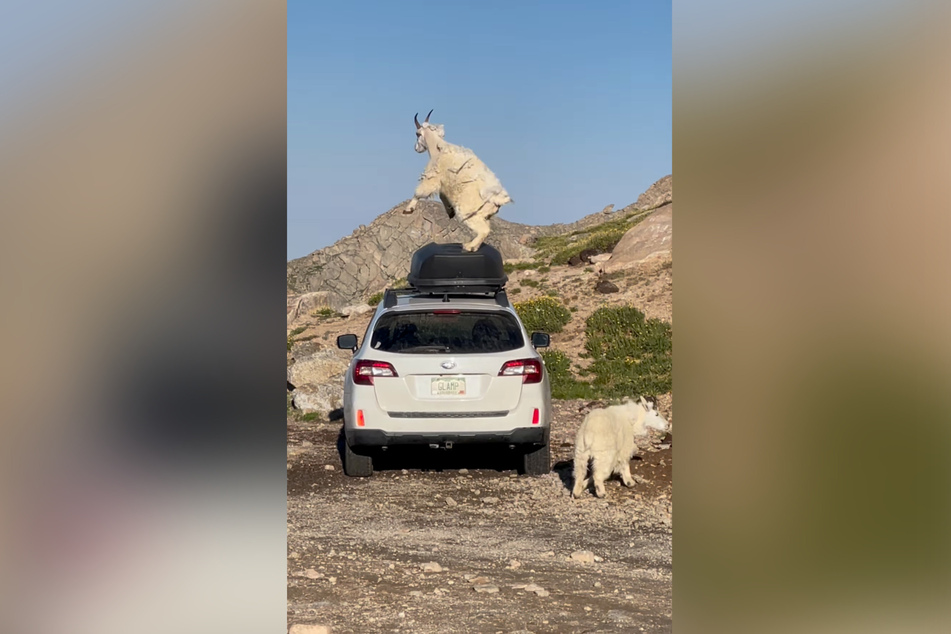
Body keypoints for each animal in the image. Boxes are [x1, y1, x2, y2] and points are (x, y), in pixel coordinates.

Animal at [402, 111, 512, 252]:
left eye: (417, 134)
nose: (416, 148)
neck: (437, 148)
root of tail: (497, 199)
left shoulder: (432, 177)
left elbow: (420, 192)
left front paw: (408, 209)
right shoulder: (444, 185)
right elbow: (442, 195)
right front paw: (449, 211)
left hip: (469, 212)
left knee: (484, 230)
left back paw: (469, 246)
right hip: (484, 214)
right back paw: (473, 245)